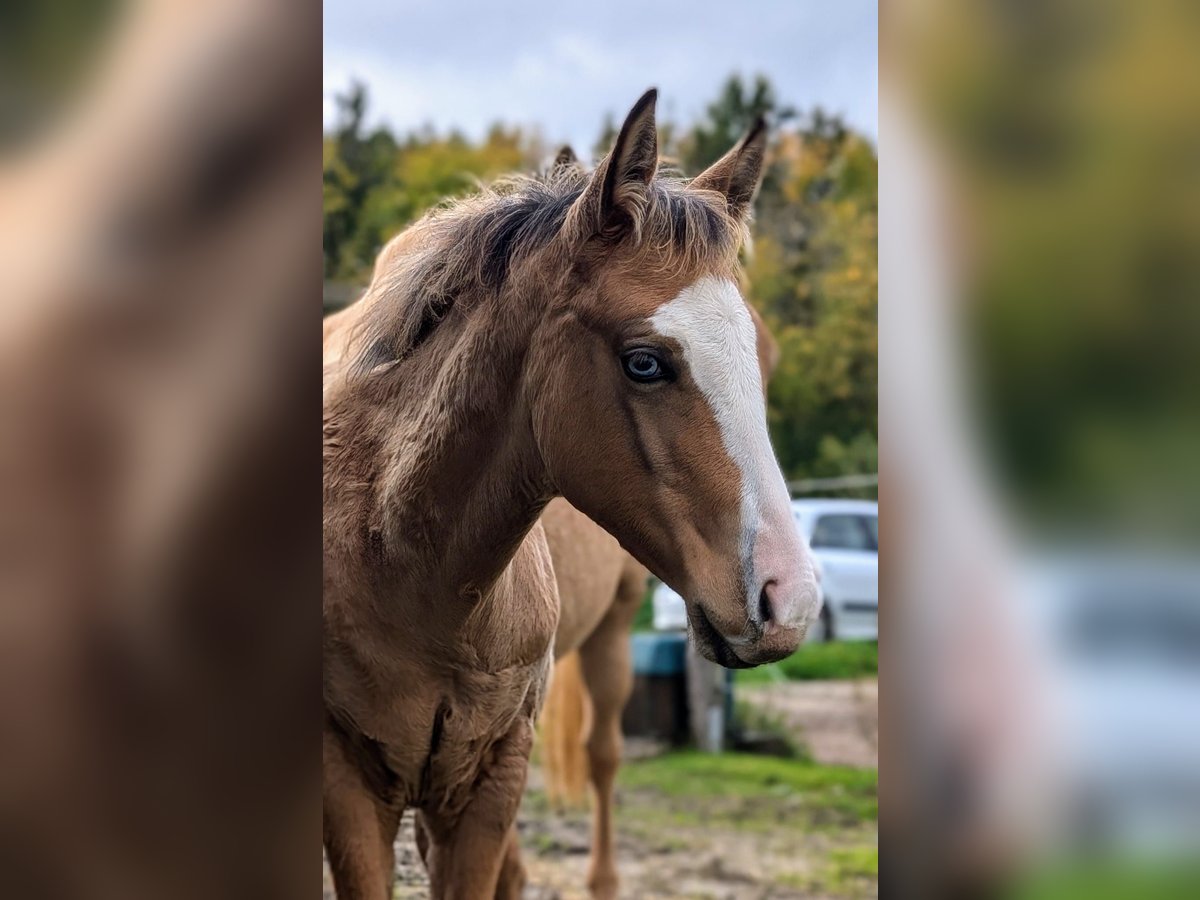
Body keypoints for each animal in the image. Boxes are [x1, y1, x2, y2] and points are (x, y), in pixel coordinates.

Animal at [324, 86, 820, 900]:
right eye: (645, 361)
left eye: (759, 356)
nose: (791, 599)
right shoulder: (349, 782)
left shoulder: (489, 778)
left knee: (601, 754)